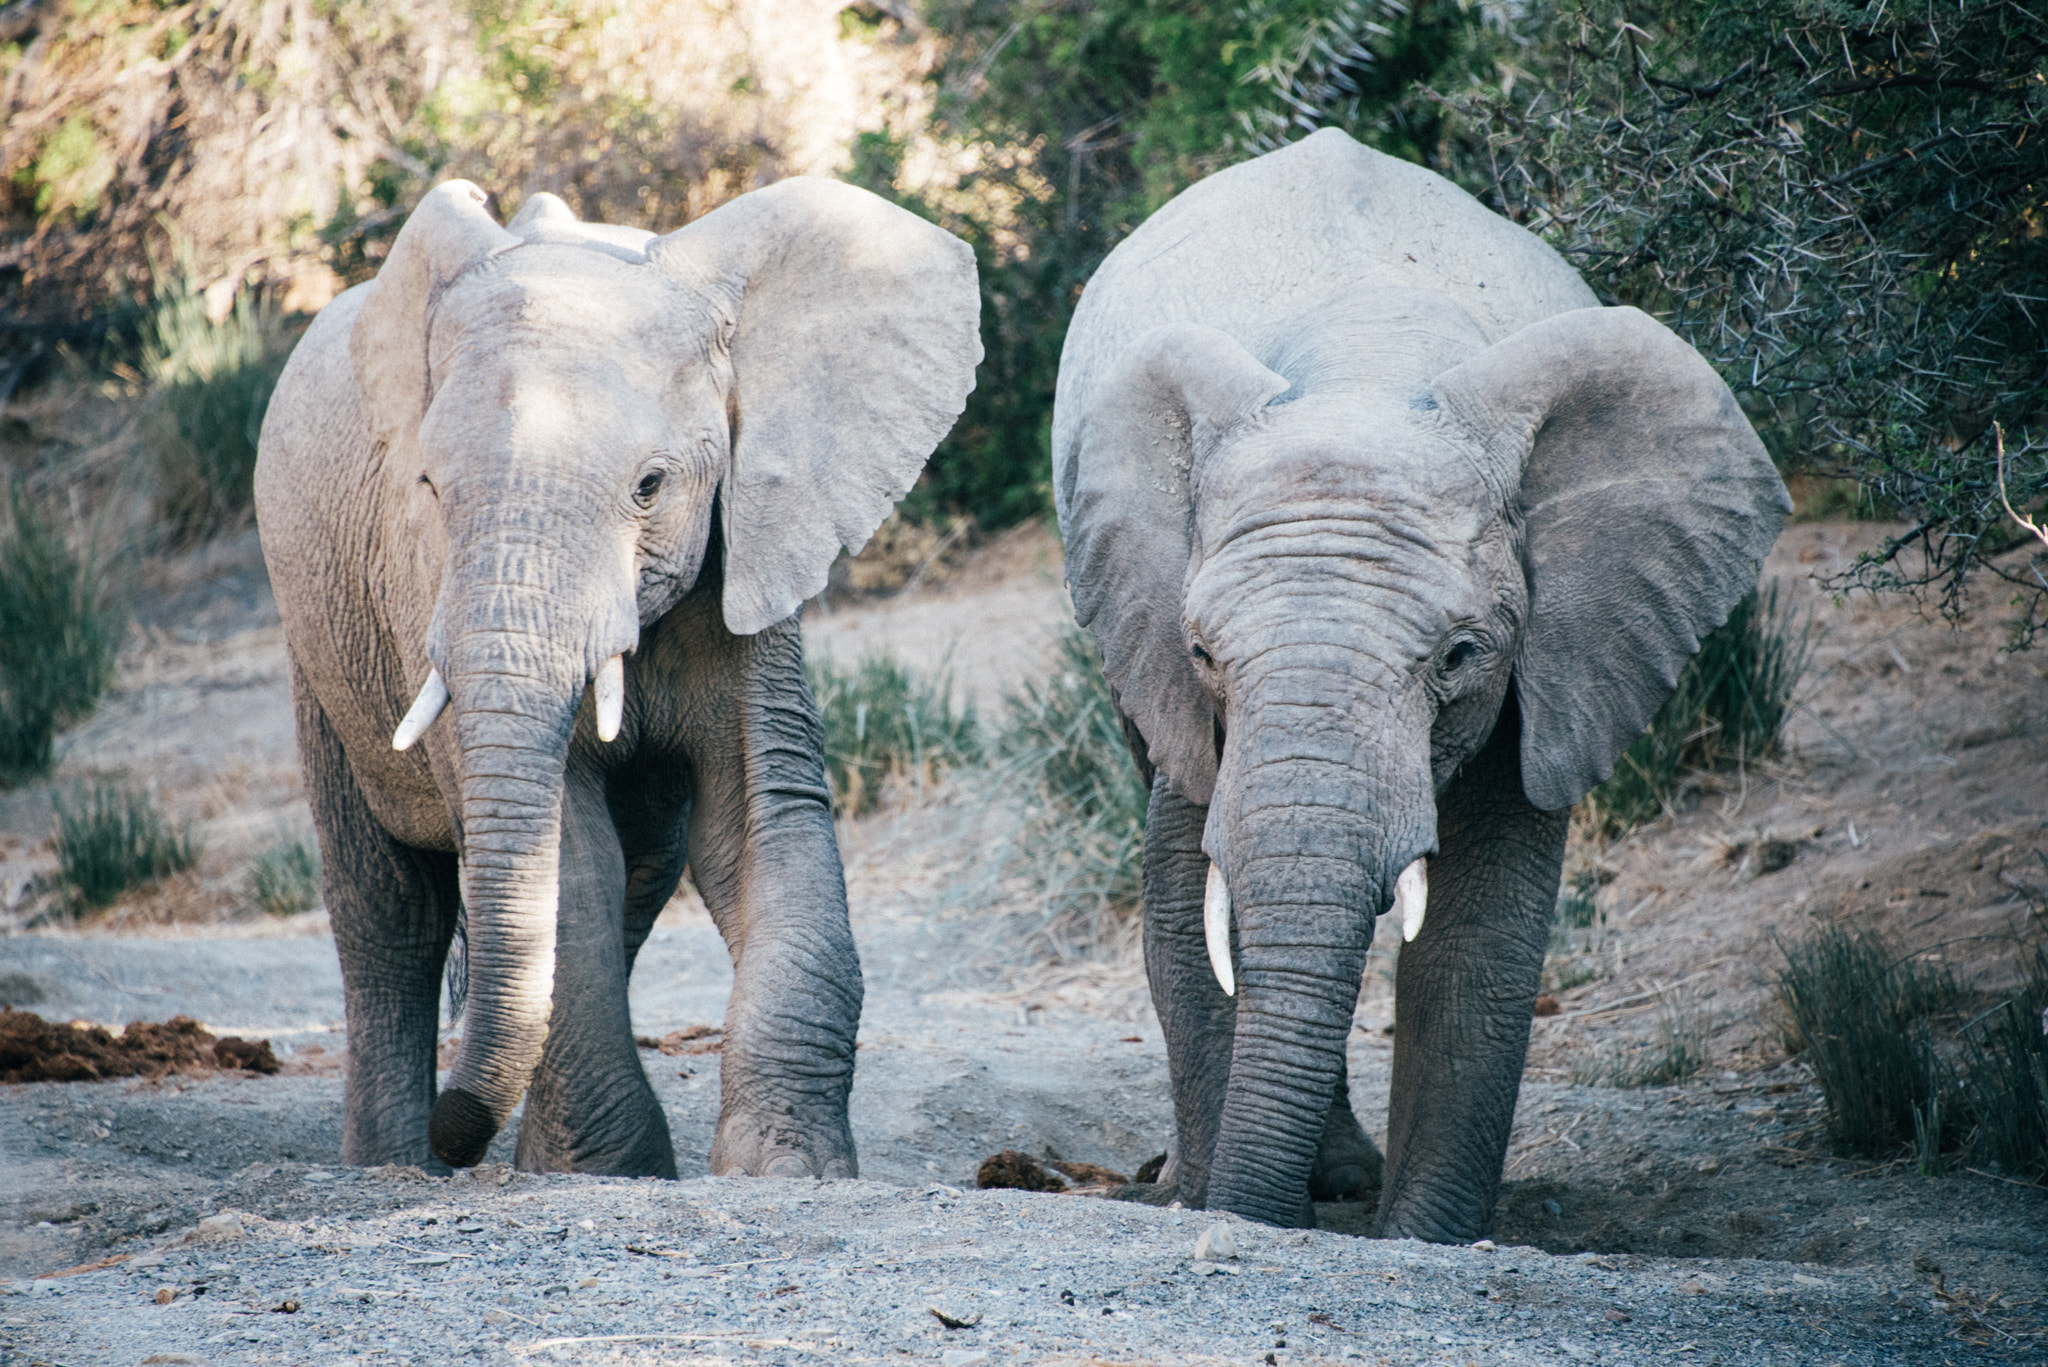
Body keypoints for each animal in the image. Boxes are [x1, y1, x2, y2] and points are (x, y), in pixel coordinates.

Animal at [254, 178, 980, 1177]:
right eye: (428, 490)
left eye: (650, 486)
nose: (459, 1128)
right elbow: (569, 852)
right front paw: (612, 1172)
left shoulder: (749, 552)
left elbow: (761, 818)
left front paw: (788, 1168)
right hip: (319, 634)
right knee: (390, 912)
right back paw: (395, 1165)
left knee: (636, 877)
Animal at [1053, 129, 1787, 1241]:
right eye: (1202, 653)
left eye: (1458, 654)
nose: (1249, 1213)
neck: (1369, 370)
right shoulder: (1167, 667)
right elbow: (1187, 904)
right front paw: (1216, 1204)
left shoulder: (1552, 664)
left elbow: (1477, 936)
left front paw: (1424, 1236)